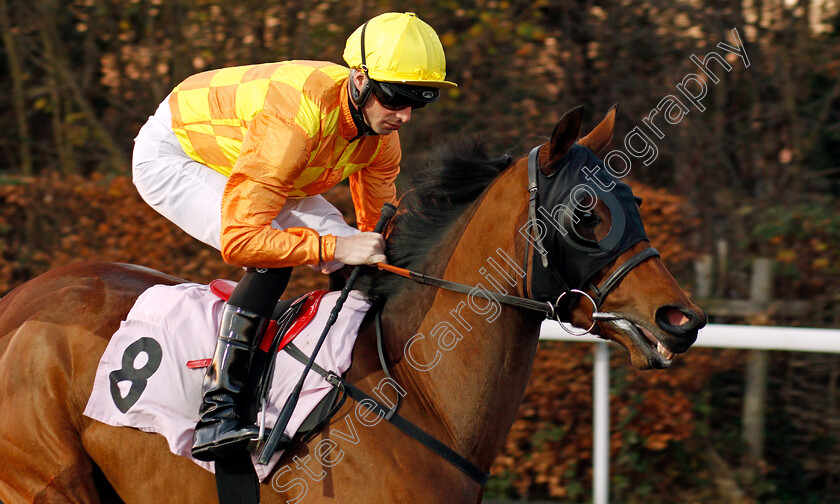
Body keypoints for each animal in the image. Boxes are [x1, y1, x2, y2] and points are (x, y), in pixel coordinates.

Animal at [0, 105, 708, 500]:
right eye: (586, 213)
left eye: (634, 200)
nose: (681, 319)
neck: (418, 397)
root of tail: (20, 301)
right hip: (44, 481)